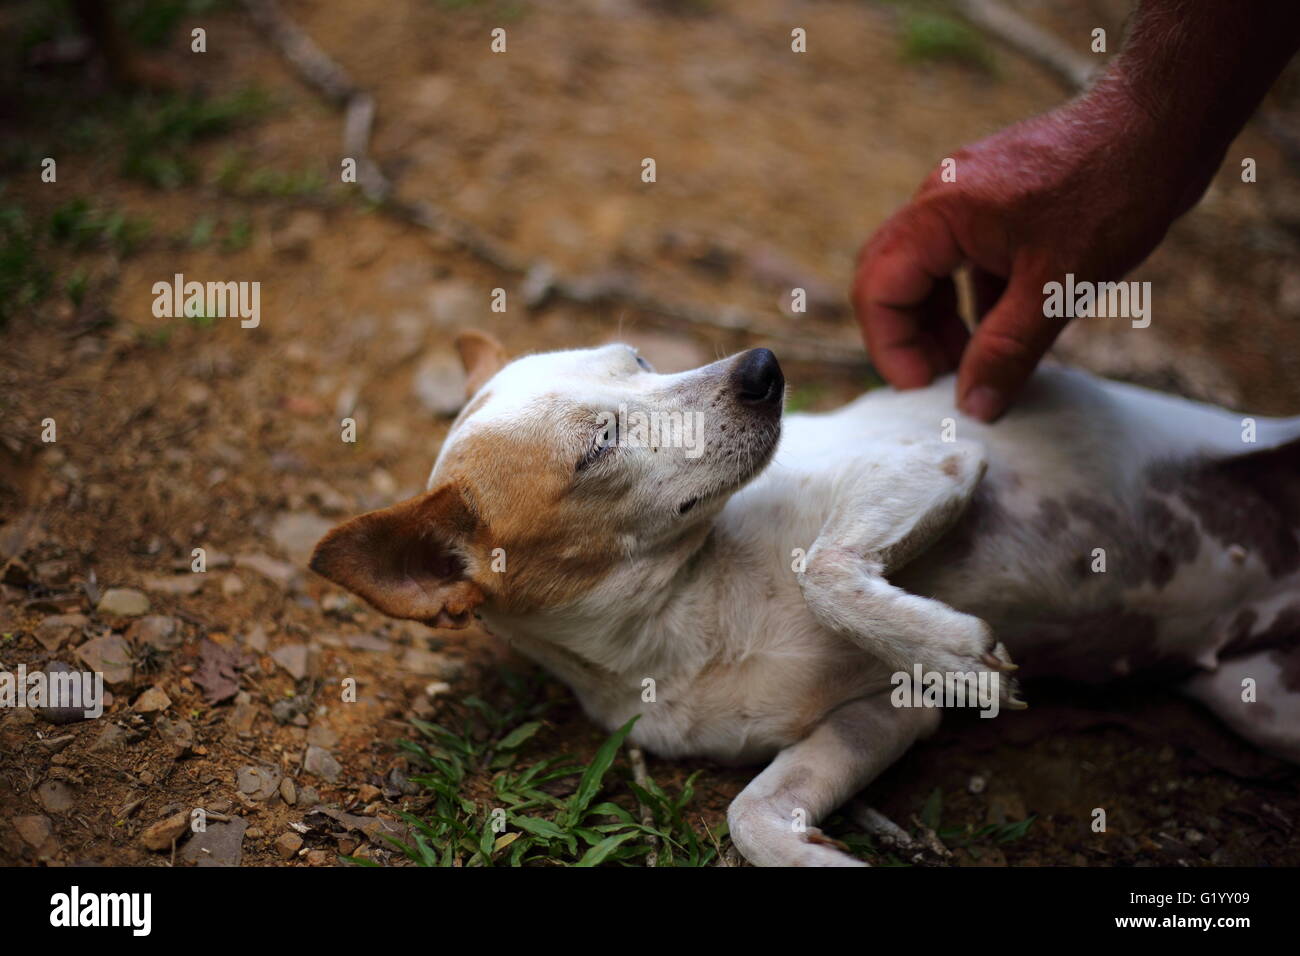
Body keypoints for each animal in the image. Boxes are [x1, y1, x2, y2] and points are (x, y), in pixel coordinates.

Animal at [312, 335, 1300, 868]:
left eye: (638, 358)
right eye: (599, 446)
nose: (761, 365)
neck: (690, 618)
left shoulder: (937, 461)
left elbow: (823, 568)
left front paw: (954, 650)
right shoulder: (885, 716)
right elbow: (754, 811)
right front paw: (818, 853)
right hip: (1257, 702)